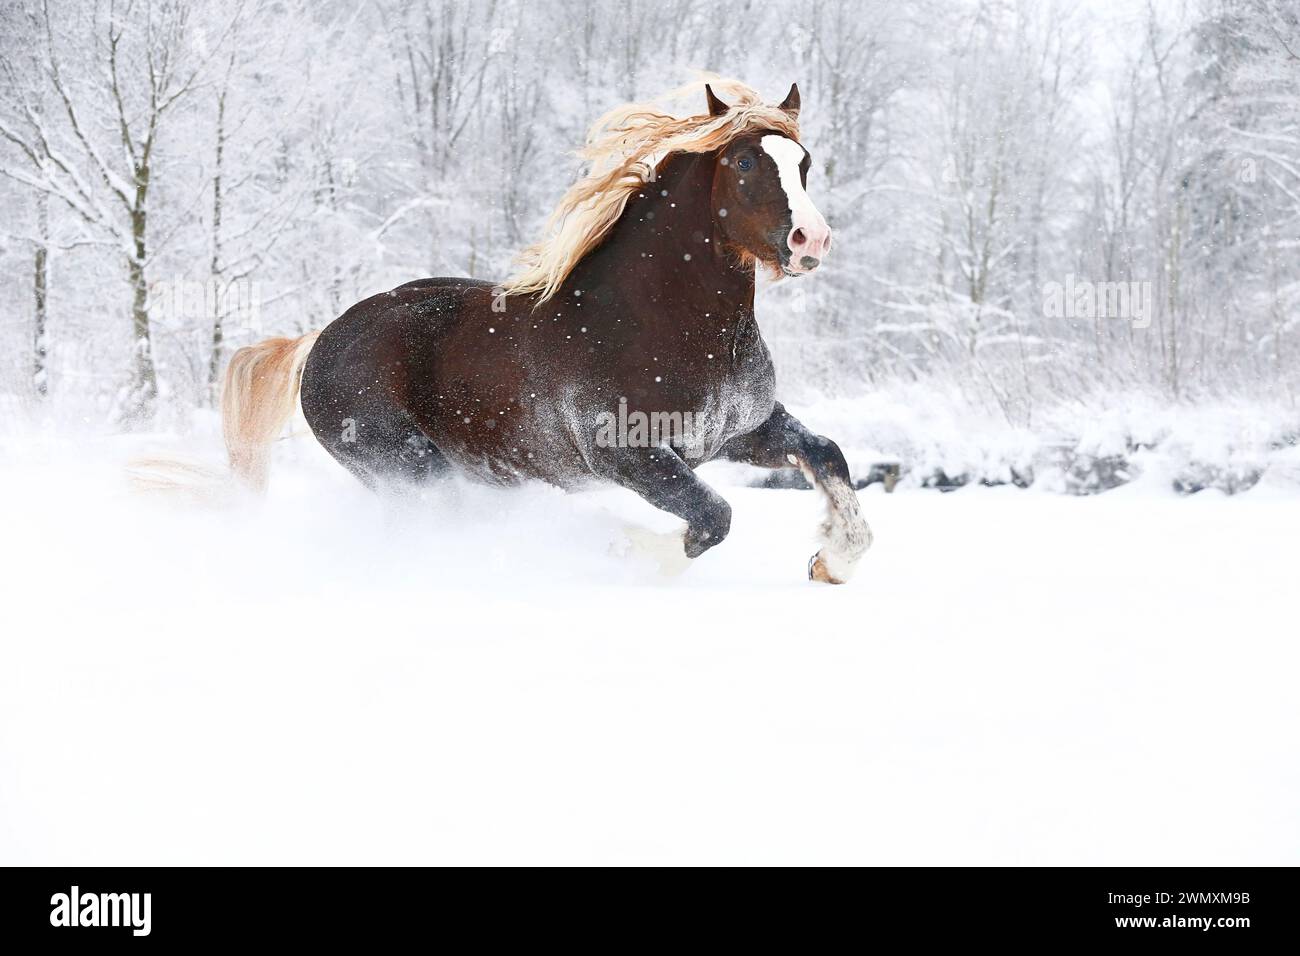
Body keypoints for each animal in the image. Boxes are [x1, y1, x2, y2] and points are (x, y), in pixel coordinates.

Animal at [215, 78, 873, 582]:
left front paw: (832, 562)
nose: (811, 241)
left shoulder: (736, 433)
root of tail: (318, 341)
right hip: (411, 470)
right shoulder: (626, 454)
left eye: (804, 163)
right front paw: (625, 551)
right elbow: (714, 517)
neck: (669, 324)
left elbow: (828, 454)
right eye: (743, 161)